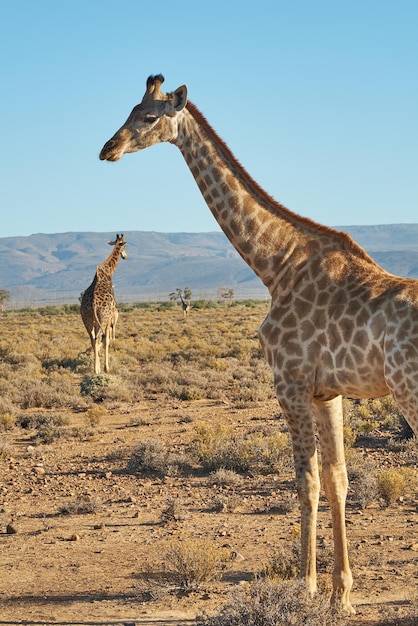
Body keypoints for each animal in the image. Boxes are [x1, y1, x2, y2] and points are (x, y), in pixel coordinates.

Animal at [80, 233, 127, 370]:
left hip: (87, 319)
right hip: (102, 319)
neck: (109, 271)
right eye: (124, 247)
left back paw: (95, 367)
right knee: (98, 339)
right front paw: (106, 367)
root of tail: (92, 305)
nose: (125, 256)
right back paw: (97, 369)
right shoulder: (110, 316)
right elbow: (107, 340)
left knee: (92, 339)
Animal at [100, 72, 418, 608]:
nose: (108, 149)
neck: (276, 264)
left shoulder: (288, 381)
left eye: (146, 116)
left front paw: (307, 587)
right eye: (128, 110)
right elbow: (337, 479)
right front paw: (341, 593)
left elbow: (306, 482)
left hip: (410, 391)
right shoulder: (327, 391)